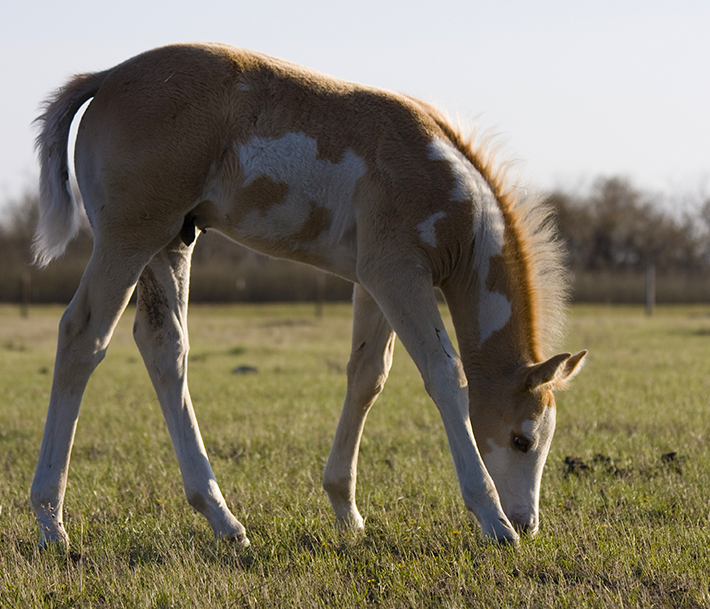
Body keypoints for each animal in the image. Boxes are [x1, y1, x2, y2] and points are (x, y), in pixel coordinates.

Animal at [30, 42, 586, 549]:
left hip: (171, 242)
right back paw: (51, 523)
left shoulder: (373, 281)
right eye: (521, 439)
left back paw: (223, 520)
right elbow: (445, 375)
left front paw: (347, 511)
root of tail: (105, 78)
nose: (527, 523)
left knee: (166, 349)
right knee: (82, 337)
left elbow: (367, 376)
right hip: (129, 238)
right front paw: (492, 519)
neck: (448, 188)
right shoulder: (398, 273)